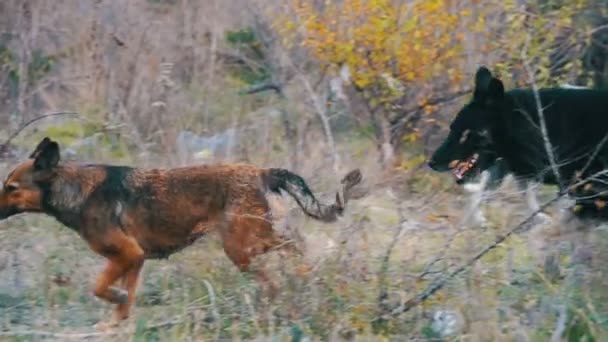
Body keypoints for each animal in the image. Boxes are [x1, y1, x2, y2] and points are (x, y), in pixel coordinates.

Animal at [0, 137, 360, 326]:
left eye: (11, 188)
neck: (75, 190)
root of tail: (261, 171)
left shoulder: (127, 255)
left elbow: (100, 287)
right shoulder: (135, 261)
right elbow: (123, 304)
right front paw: (116, 326)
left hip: (242, 248)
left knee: (282, 270)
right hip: (257, 241)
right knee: (299, 253)